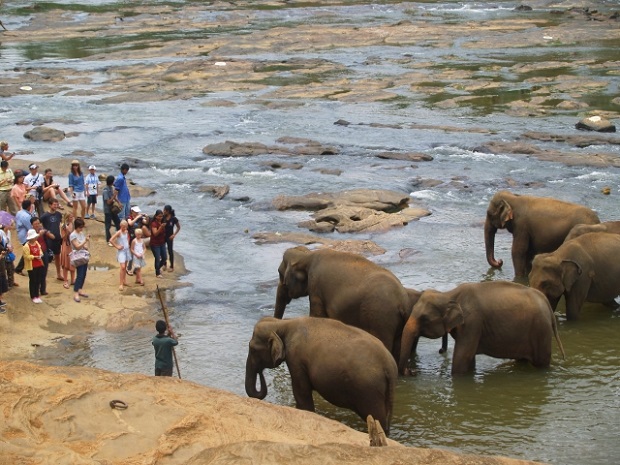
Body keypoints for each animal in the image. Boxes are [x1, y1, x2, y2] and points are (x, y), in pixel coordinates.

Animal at [245, 314, 394, 434]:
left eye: (252, 349)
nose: (260, 372)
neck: (283, 323)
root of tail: (390, 366)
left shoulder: (296, 359)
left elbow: (301, 393)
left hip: (369, 391)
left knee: (377, 418)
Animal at [274, 245, 418, 360]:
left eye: (280, 274)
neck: (308, 256)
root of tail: (403, 303)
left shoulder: (316, 288)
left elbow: (317, 315)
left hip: (381, 318)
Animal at [398, 280, 568, 376]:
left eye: (424, 319)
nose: (411, 372)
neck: (449, 295)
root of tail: (546, 303)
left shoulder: (473, 322)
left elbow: (462, 358)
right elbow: (469, 359)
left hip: (541, 330)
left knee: (541, 363)